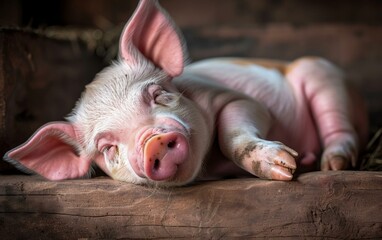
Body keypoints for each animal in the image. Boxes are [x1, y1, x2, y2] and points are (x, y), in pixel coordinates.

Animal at [2, 0, 368, 188]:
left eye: (157, 94)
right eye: (107, 148)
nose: (152, 140)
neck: (209, 166)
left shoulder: (237, 99)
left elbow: (231, 132)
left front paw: (283, 168)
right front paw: (289, 166)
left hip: (323, 75)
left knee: (340, 128)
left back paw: (333, 164)